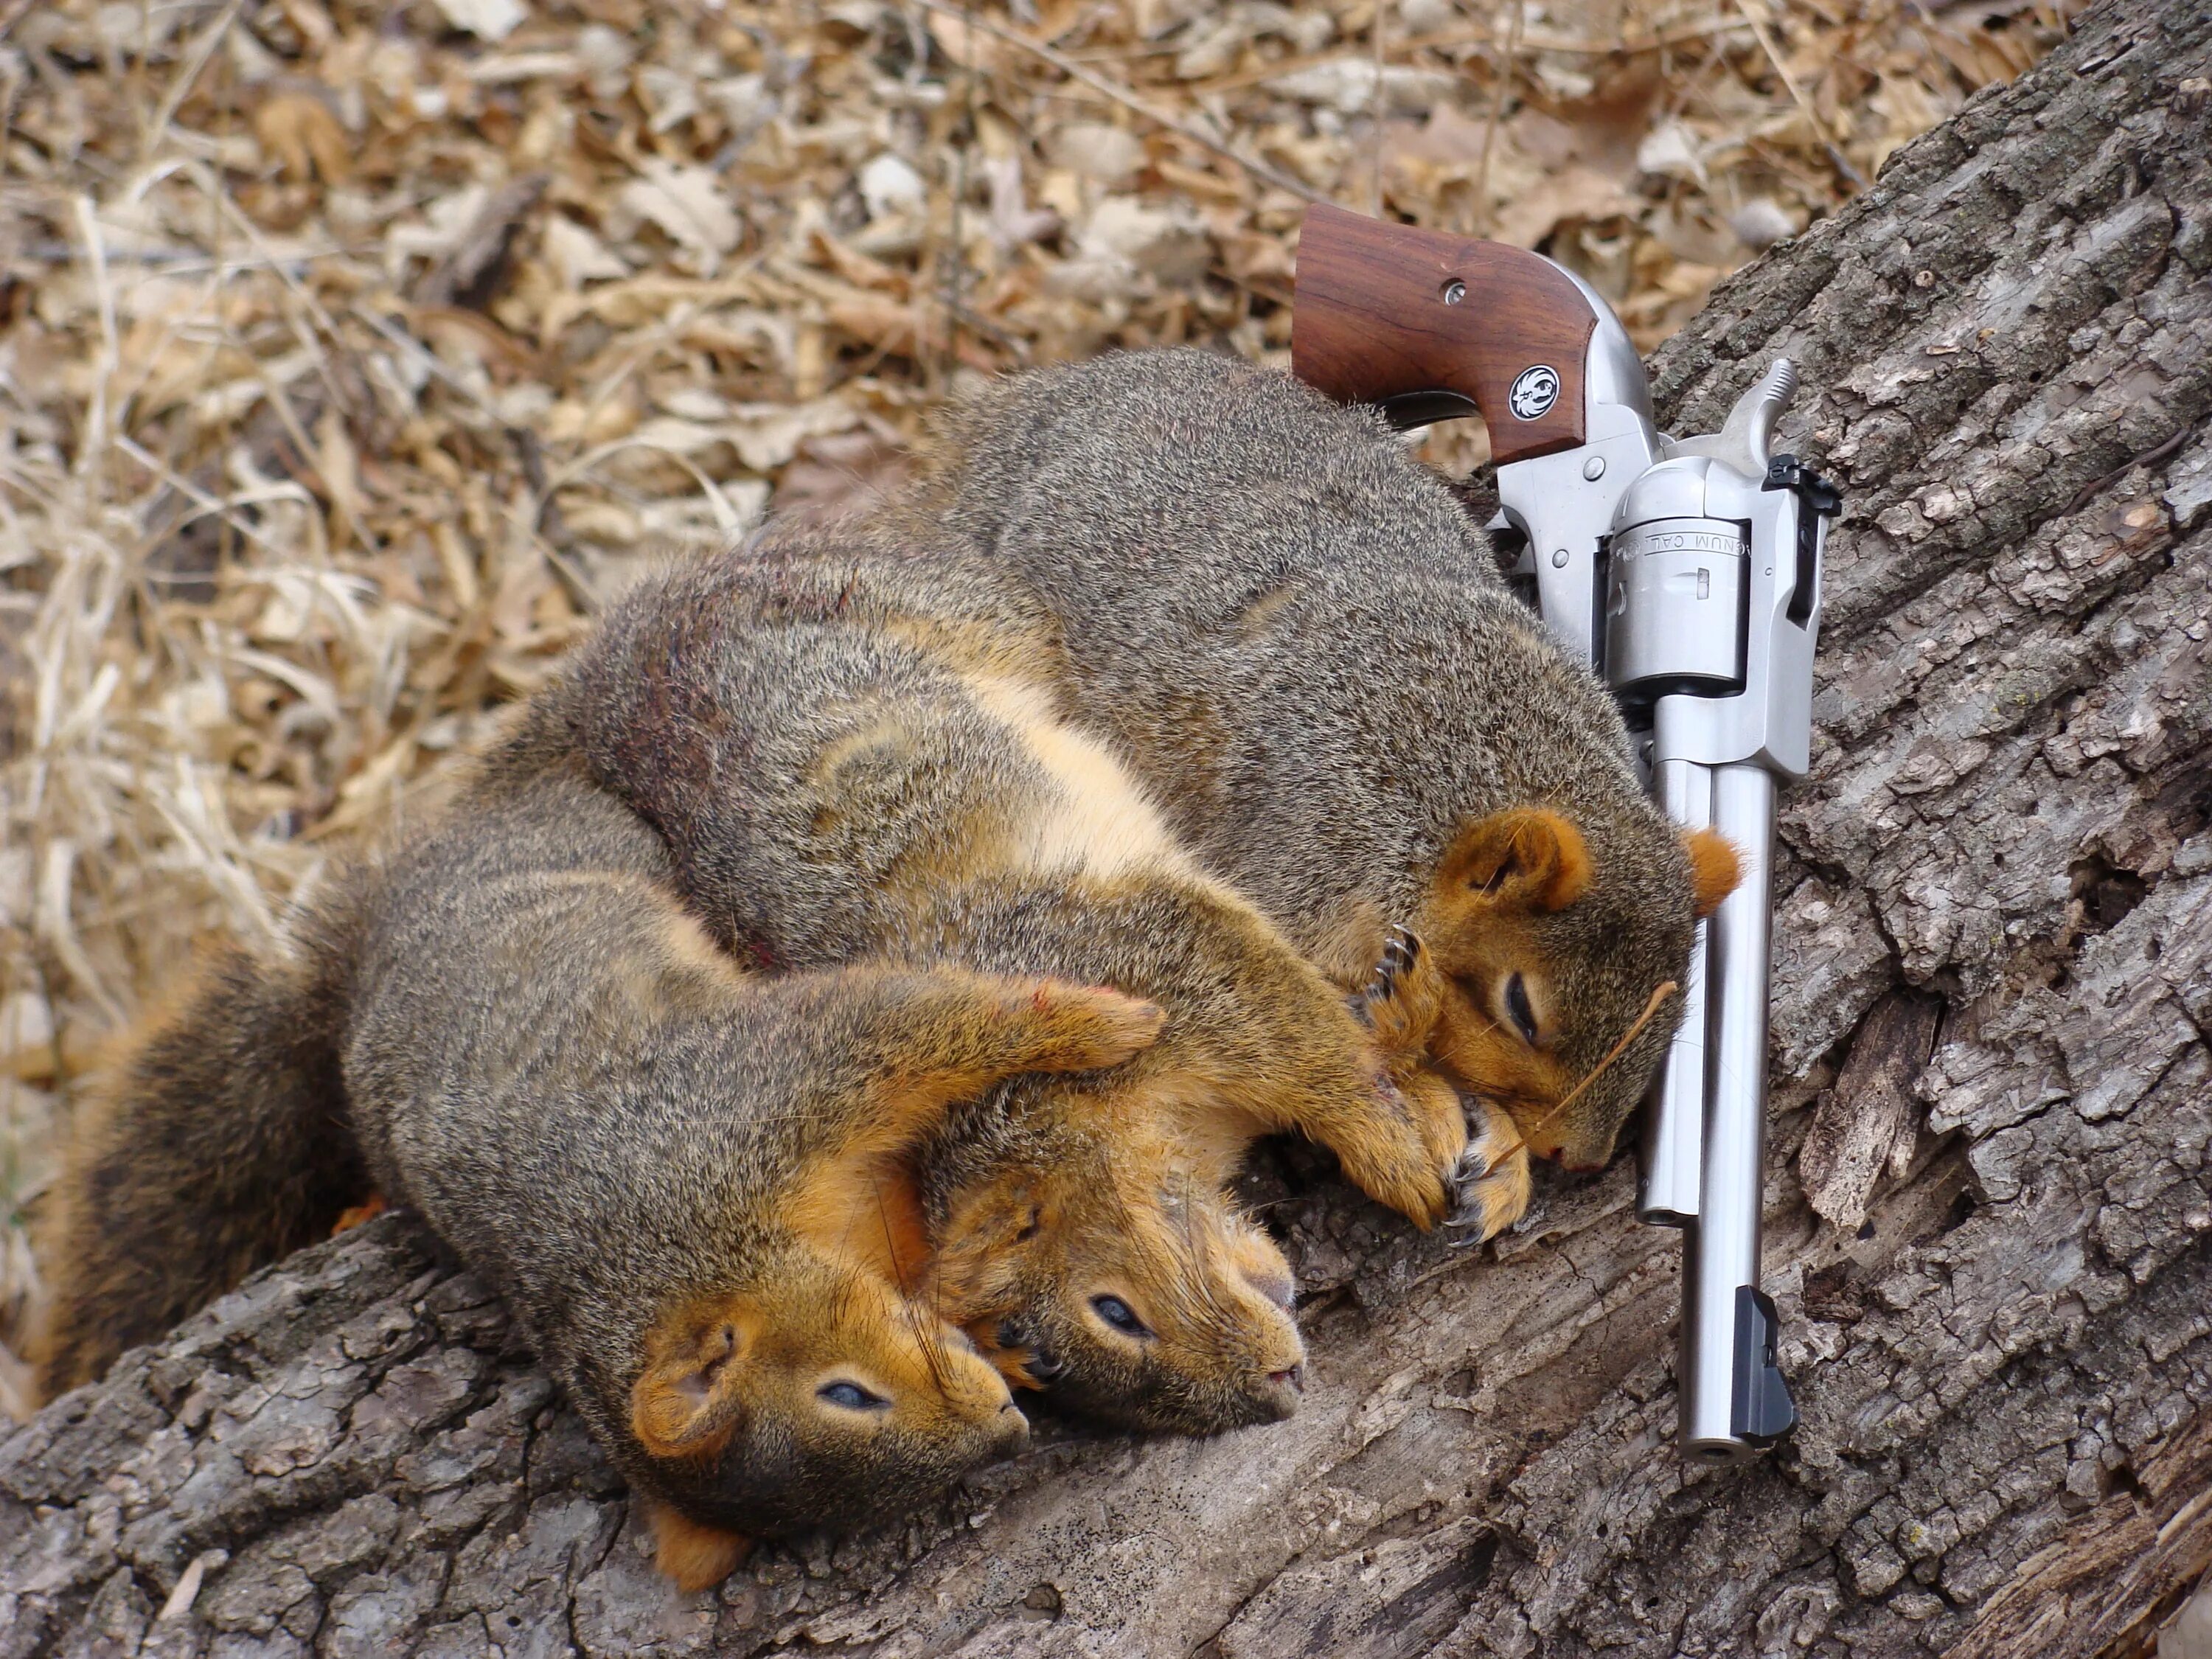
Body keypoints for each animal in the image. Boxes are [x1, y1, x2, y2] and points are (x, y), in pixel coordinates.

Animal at [546, 533, 1478, 1433]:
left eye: (1115, 1311)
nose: (1277, 1387)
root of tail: (627, 643)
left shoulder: (1162, 954)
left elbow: (1314, 1044)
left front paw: (1397, 1142)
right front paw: (1413, 1082)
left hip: (953, 612)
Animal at [885, 352, 1743, 1239]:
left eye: (1680, 997)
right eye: (1522, 1007)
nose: (1582, 1156)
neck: (1460, 764)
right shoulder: (1294, 862)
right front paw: (1429, 1103)